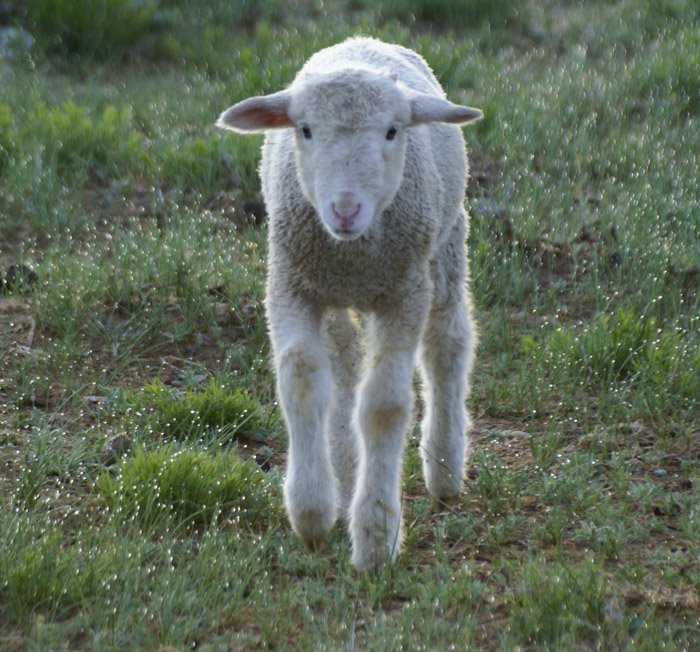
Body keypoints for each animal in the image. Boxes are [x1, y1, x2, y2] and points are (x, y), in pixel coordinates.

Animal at [217, 37, 482, 571]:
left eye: (392, 131)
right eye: (304, 129)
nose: (344, 210)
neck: (353, 253)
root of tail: (365, 42)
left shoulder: (403, 293)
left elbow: (383, 405)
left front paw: (377, 537)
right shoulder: (291, 286)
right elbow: (301, 381)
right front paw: (312, 512)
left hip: (444, 248)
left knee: (446, 345)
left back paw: (445, 469)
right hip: (332, 290)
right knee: (342, 364)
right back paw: (342, 467)